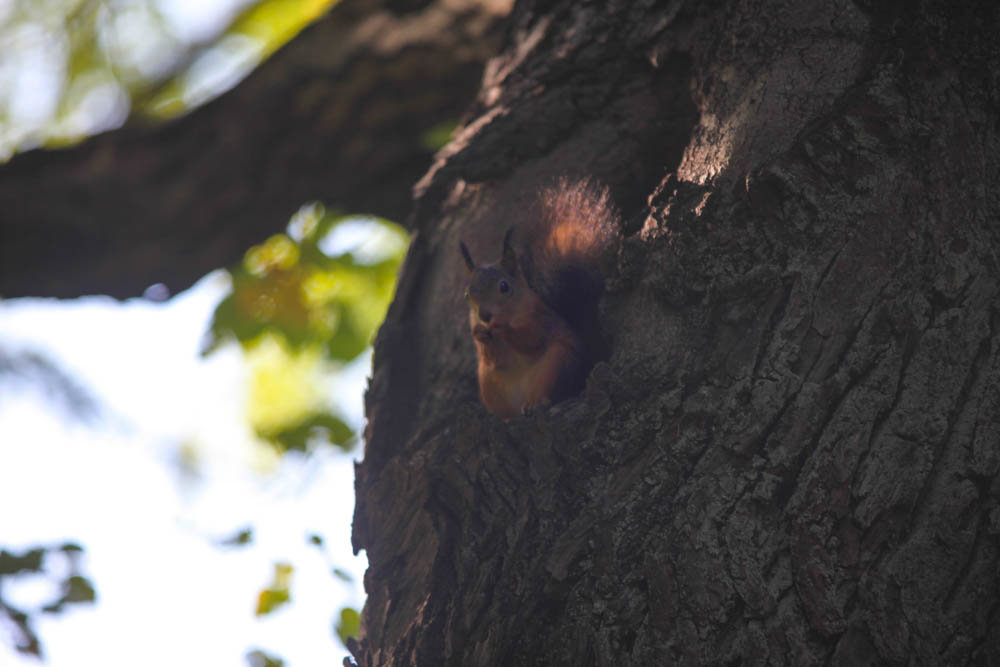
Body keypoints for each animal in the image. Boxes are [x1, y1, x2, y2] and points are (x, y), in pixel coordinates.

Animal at [458, 180, 616, 420]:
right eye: (467, 294)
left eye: (504, 287)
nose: (484, 315)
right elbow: (491, 359)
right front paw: (479, 335)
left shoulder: (540, 318)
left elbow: (532, 339)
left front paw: (503, 327)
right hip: (489, 384)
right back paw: (506, 417)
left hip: (556, 364)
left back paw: (535, 403)